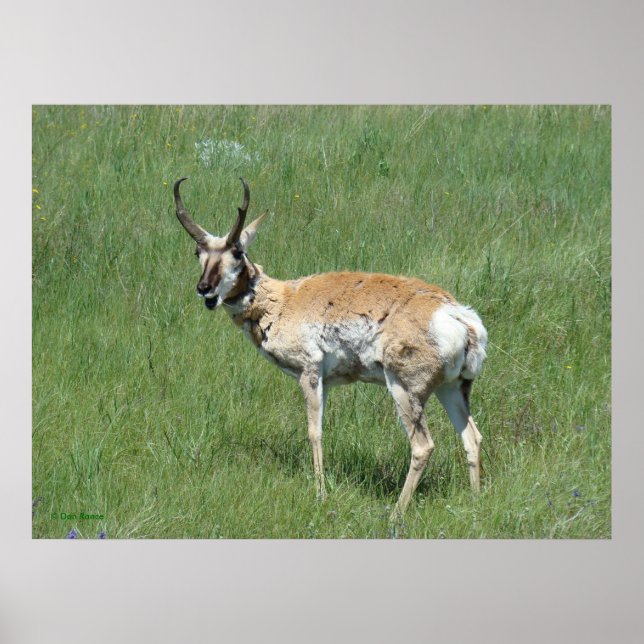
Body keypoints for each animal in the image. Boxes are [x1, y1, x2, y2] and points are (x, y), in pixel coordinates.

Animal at [174, 177, 488, 517]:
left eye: (237, 251)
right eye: (198, 251)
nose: (204, 289)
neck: (284, 300)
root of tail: (457, 315)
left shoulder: (309, 373)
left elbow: (315, 431)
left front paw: (321, 493)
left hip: (405, 388)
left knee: (422, 446)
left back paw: (396, 513)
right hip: (451, 388)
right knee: (472, 437)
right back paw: (475, 502)